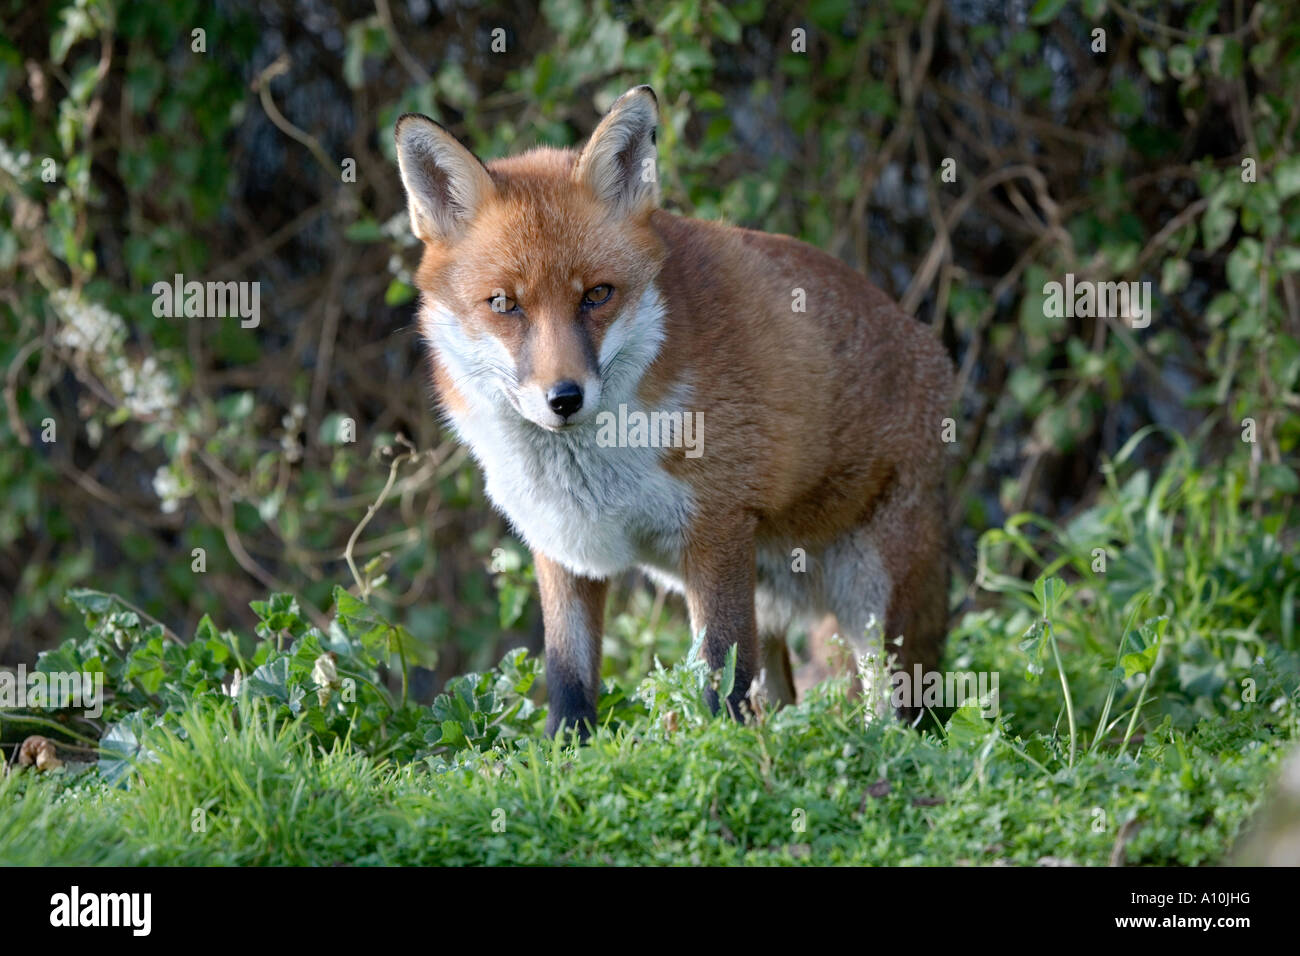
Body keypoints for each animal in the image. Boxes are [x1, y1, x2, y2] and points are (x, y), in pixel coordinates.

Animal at [394, 86, 955, 736]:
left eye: (597, 294)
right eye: (504, 304)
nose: (564, 398)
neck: (595, 471)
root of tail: (935, 351)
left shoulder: (716, 526)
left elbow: (722, 672)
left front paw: (725, 748)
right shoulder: (561, 544)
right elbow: (569, 677)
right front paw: (564, 750)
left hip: (871, 600)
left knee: (898, 713)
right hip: (771, 594)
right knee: (782, 696)